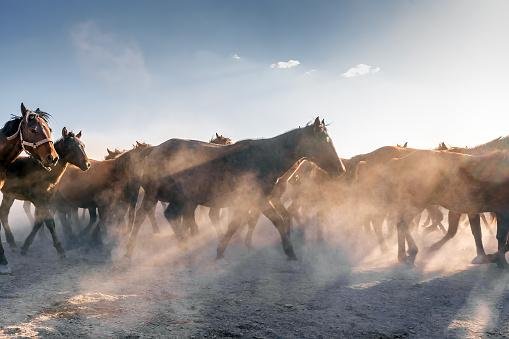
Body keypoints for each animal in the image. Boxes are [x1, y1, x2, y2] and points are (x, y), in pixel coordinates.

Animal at [125, 118, 344, 262]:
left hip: (165, 198)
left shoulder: (249, 201)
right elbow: (278, 222)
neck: (266, 157)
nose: (341, 169)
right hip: (172, 198)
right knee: (162, 217)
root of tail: (154, 151)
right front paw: (290, 251)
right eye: (325, 142)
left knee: (149, 217)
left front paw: (221, 249)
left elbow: (235, 225)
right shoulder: (258, 200)